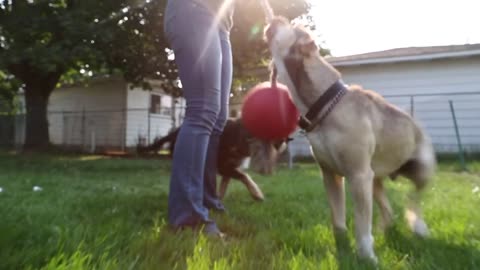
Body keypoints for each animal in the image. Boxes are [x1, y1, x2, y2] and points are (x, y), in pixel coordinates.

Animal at [264, 16, 436, 262]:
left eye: (292, 27)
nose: (276, 17)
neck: (325, 105)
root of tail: (417, 124)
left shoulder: (358, 175)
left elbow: (362, 224)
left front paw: (367, 257)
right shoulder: (330, 175)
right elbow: (338, 221)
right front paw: (343, 249)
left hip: (420, 170)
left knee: (414, 198)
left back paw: (419, 227)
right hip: (375, 179)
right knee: (388, 207)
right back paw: (387, 230)